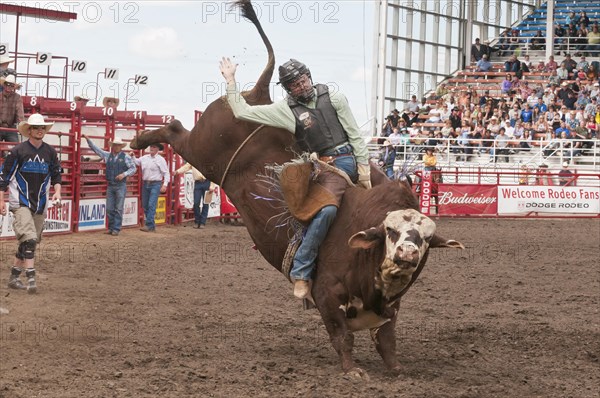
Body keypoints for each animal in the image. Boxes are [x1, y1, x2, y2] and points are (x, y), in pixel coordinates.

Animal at [129, 0, 462, 380]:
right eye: (390, 231)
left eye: (425, 237)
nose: (407, 253)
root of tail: (258, 97)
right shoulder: (327, 295)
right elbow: (342, 335)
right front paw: (352, 370)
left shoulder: (390, 309)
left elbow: (387, 341)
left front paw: (396, 370)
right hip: (202, 149)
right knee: (173, 129)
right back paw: (139, 139)